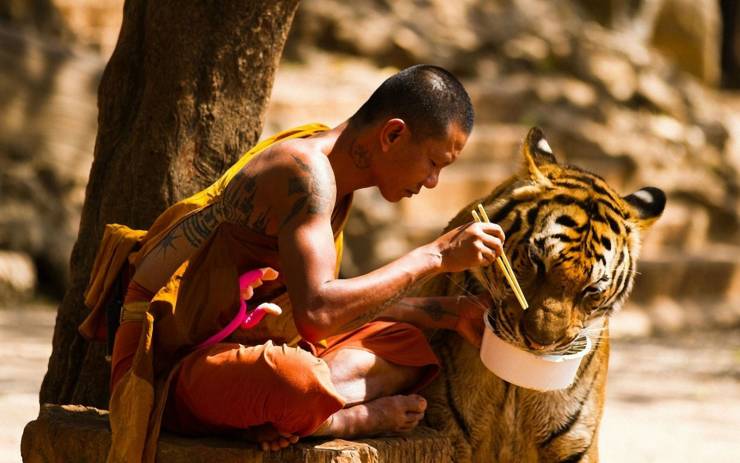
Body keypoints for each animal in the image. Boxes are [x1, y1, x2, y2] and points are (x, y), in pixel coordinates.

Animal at [420, 127, 668, 463]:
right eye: (535, 260)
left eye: (592, 290)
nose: (539, 343)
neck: (514, 386)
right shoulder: (448, 429)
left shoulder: (574, 443)